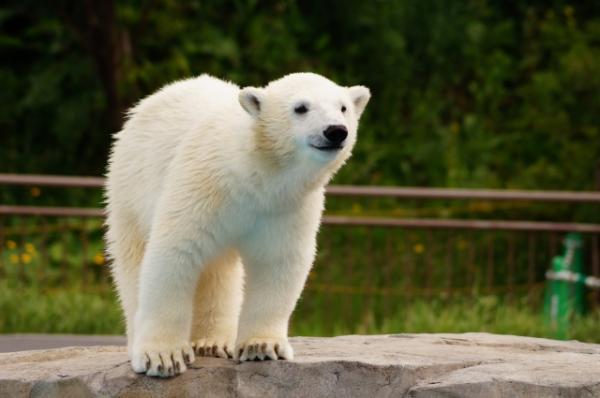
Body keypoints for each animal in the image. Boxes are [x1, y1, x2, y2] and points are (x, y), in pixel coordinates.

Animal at [106, 72, 370, 376]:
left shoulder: (285, 206)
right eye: (301, 108)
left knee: (218, 271)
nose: (336, 131)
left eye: (343, 108)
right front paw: (162, 357)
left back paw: (211, 342)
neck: (253, 174)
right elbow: (176, 252)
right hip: (129, 185)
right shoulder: (202, 185)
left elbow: (278, 261)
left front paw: (261, 346)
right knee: (132, 258)